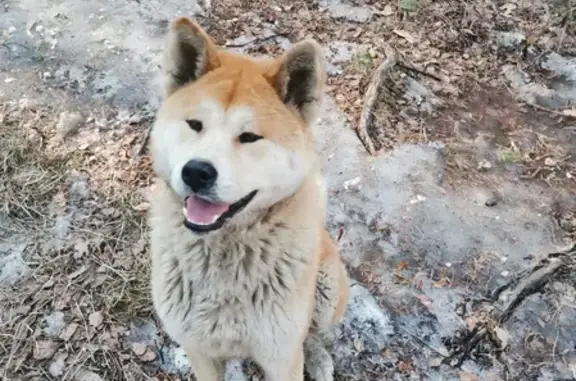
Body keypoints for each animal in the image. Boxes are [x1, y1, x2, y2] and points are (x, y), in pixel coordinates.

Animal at [146, 17, 348, 380]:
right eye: (194, 124)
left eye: (249, 137)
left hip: (327, 293)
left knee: (312, 332)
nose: (196, 172)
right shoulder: (200, 352)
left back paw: (319, 359)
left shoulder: (281, 358)